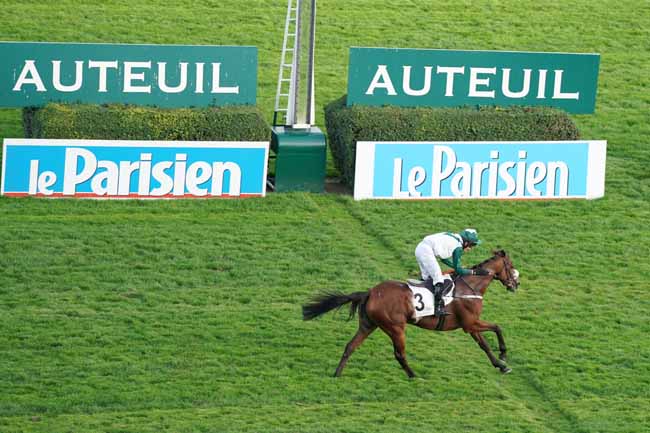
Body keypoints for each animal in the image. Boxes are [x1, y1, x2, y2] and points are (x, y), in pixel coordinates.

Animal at [302, 250, 520, 378]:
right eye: (510, 266)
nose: (516, 283)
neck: (470, 286)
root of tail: (370, 292)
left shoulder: (470, 325)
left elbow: (484, 345)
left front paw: (501, 365)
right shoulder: (470, 323)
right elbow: (497, 328)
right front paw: (503, 354)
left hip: (368, 324)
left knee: (350, 346)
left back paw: (337, 374)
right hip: (396, 327)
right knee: (399, 354)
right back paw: (414, 375)